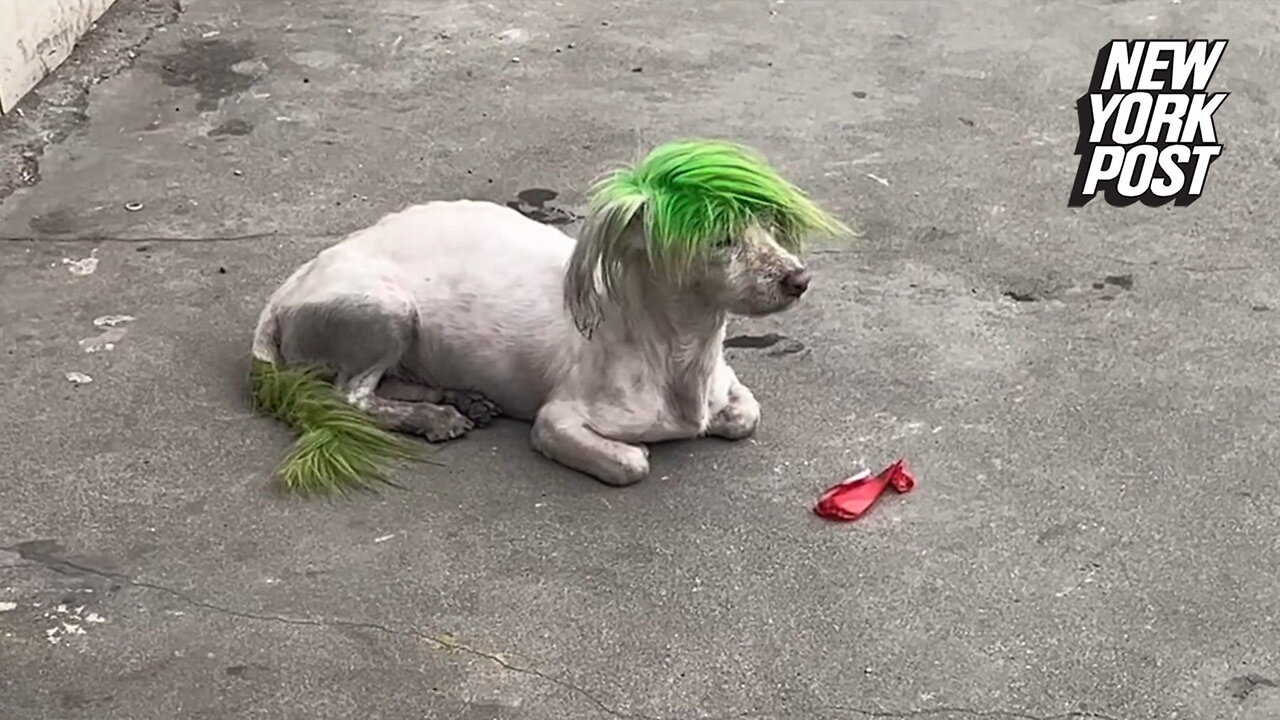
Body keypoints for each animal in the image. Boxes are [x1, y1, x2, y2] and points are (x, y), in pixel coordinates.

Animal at [247, 137, 849, 489]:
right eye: (720, 240)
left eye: (767, 227)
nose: (800, 280)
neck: (676, 353)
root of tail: (284, 292)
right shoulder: (556, 421)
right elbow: (631, 462)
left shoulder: (730, 389)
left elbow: (745, 415)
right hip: (386, 310)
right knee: (351, 397)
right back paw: (433, 417)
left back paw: (456, 400)